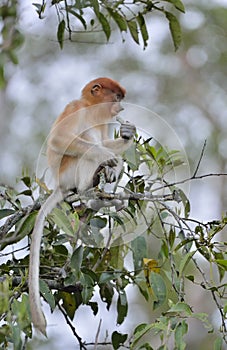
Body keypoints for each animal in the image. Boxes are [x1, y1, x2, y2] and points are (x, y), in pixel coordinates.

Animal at [27, 76, 135, 334]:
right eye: (117, 97)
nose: (121, 108)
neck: (90, 108)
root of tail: (60, 185)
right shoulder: (75, 108)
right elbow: (59, 139)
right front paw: (108, 156)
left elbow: (107, 142)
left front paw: (127, 134)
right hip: (69, 173)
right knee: (87, 154)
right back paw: (90, 190)